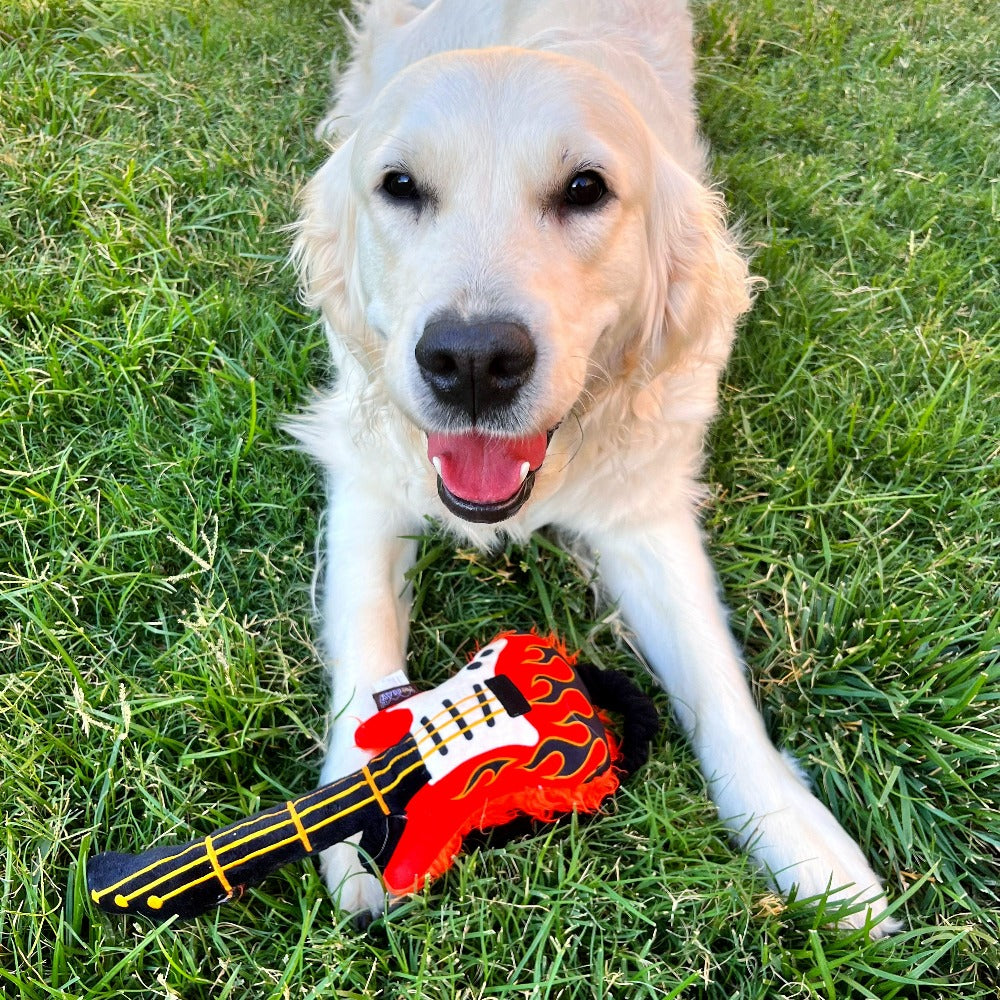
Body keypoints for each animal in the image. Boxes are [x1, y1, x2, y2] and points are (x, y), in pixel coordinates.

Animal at [292, 0, 900, 936]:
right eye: (399, 186)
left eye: (585, 189)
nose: (472, 362)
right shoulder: (367, 466)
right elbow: (365, 638)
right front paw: (358, 820)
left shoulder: (645, 512)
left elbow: (717, 683)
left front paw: (803, 840)